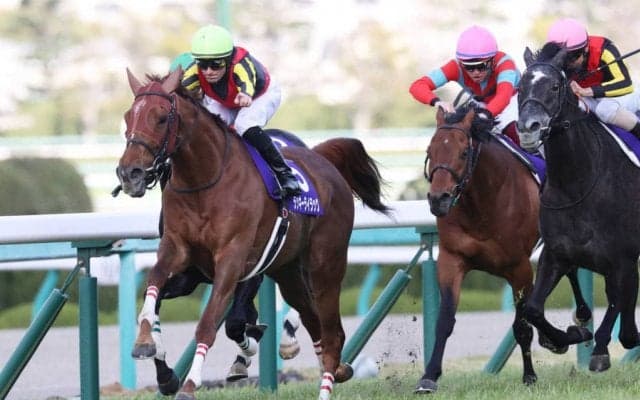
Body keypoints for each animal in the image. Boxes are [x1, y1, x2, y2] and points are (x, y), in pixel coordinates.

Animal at [116, 67, 390, 400]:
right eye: (128, 116)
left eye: (160, 118)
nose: (129, 173)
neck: (204, 182)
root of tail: (323, 161)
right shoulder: (178, 251)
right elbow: (153, 288)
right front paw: (151, 351)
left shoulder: (234, 259)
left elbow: (214, 322)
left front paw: (191, 384)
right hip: (288, 272)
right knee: (314, 320)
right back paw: (335, 368)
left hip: (325, 265)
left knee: (332, 332)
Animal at [417, 104, 592, 393]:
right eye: (430, 152)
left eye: (463, 152)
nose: (438, 200)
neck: (483, 202)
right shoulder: (451, 260)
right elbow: (444, 321)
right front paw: (429, 376)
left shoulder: (518, 268)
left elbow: (522, 325)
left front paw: (530, 375)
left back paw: (579, 319)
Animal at [516, 42, 640, 372]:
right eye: (520, 87)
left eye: (555, 86)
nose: (529, 128)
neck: (577, 182)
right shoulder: (556, 254)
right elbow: (533, 309)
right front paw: (568, 335)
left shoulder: (622, 258)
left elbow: (616, 300)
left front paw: (599, 350)